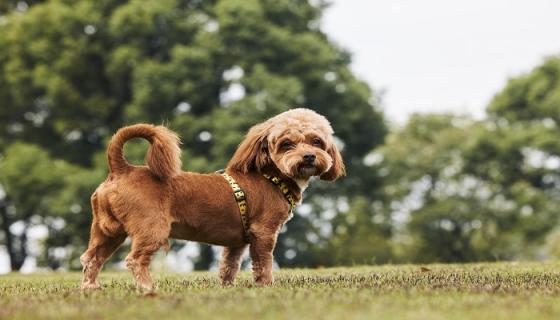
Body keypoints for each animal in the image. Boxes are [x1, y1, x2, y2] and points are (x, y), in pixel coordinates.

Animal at [77, 108, 342, 292]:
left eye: (317, 141)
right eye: (287, 144)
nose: (309, 156)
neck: (270, 176)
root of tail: (121, 168)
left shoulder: (237, 243)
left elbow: (228, 266)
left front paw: (226, 287)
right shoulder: (264, 233)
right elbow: (264, 264)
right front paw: (266, 286)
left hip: (108, 231)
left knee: (91, 258)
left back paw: (90, 287)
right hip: (151, 229)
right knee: (134, 260)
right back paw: (147, 288)